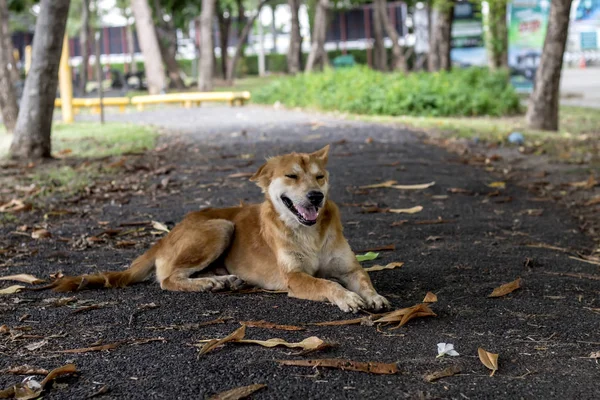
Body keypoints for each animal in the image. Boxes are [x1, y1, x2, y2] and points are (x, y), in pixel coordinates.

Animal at [55, 147, 390, 312]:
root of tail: (167, 236)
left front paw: (373, 296)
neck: (309, 232)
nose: (316, 196)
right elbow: (326, 284)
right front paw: (346, 297)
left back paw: (223, 280)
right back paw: (207, 284)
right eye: (292, 176)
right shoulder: (294, 278)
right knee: (167, 279)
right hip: (220, 227)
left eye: (320, 177)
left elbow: (363, 278)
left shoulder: (349, 268)